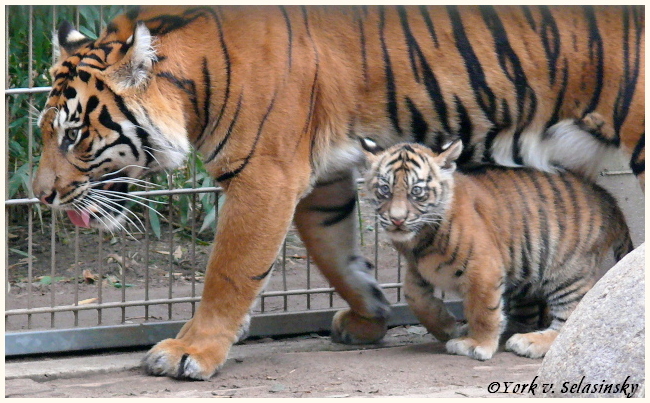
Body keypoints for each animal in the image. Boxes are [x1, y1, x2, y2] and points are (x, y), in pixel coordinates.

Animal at [31, 4, 644, 380]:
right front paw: (372, 317)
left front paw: (191, 350)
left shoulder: (265, 176)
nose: (39, 196)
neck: (193, 86)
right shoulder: (318, 180)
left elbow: (230, 270)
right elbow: (337, 256)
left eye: (73, 134)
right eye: (42, 131)